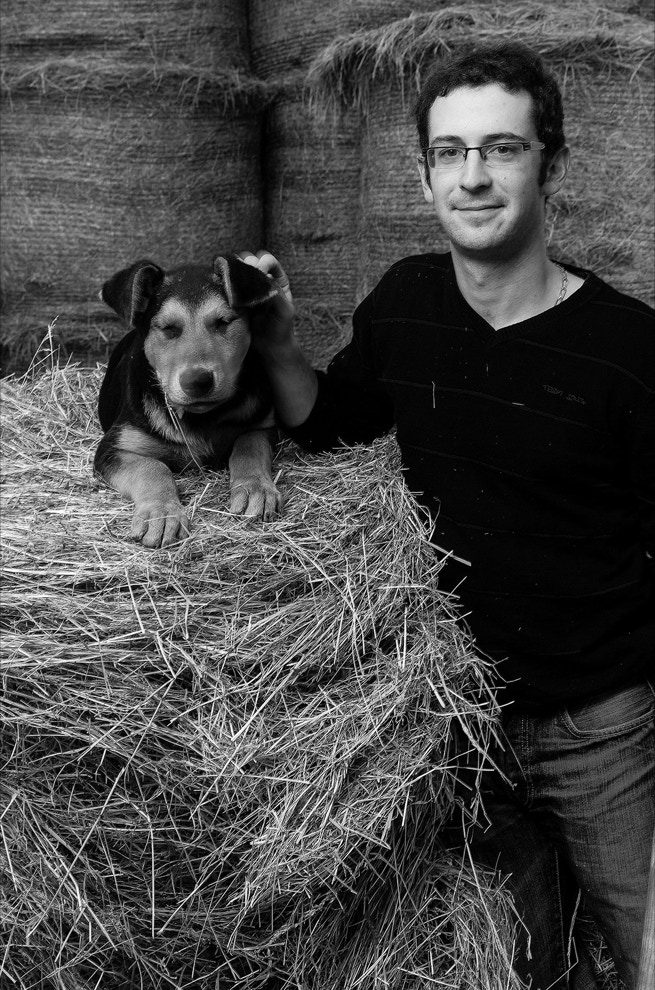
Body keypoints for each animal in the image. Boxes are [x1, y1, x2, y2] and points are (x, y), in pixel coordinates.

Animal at [94, 253, 282, 548]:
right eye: (168, 328)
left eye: (223, 322)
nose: (198, 381)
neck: (201, 417)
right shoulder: (113, 448)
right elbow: (152, 467)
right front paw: (160, 513)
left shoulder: (261, 425)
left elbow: (248, 446)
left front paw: (255, 488)